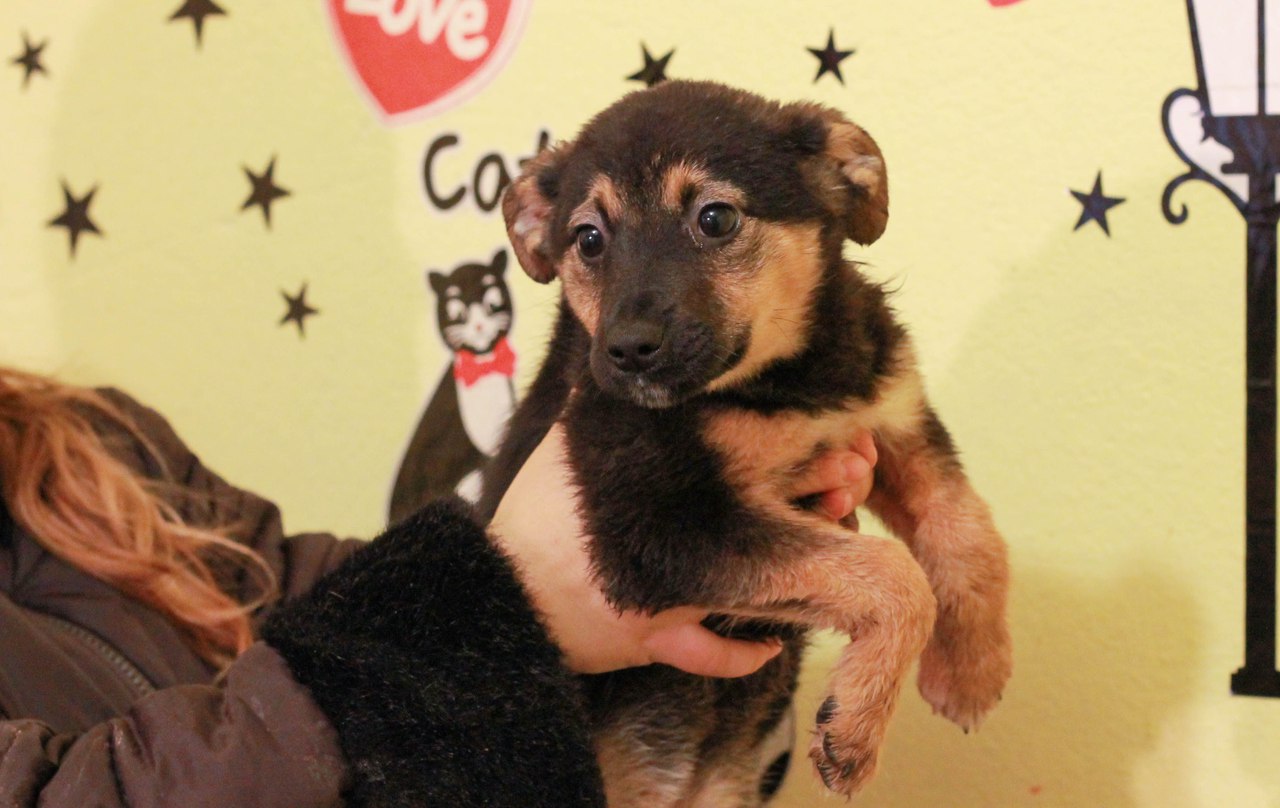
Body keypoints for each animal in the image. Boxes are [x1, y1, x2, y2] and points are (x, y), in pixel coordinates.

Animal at [478, 80, 1012, 806]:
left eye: (715, 219)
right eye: (588, 239)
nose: (627, 351)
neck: (789, 380)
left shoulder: (895, 418)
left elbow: (969, 529)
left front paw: (971, 669)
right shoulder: (656, 522)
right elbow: (891, 573)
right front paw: (856, 727)